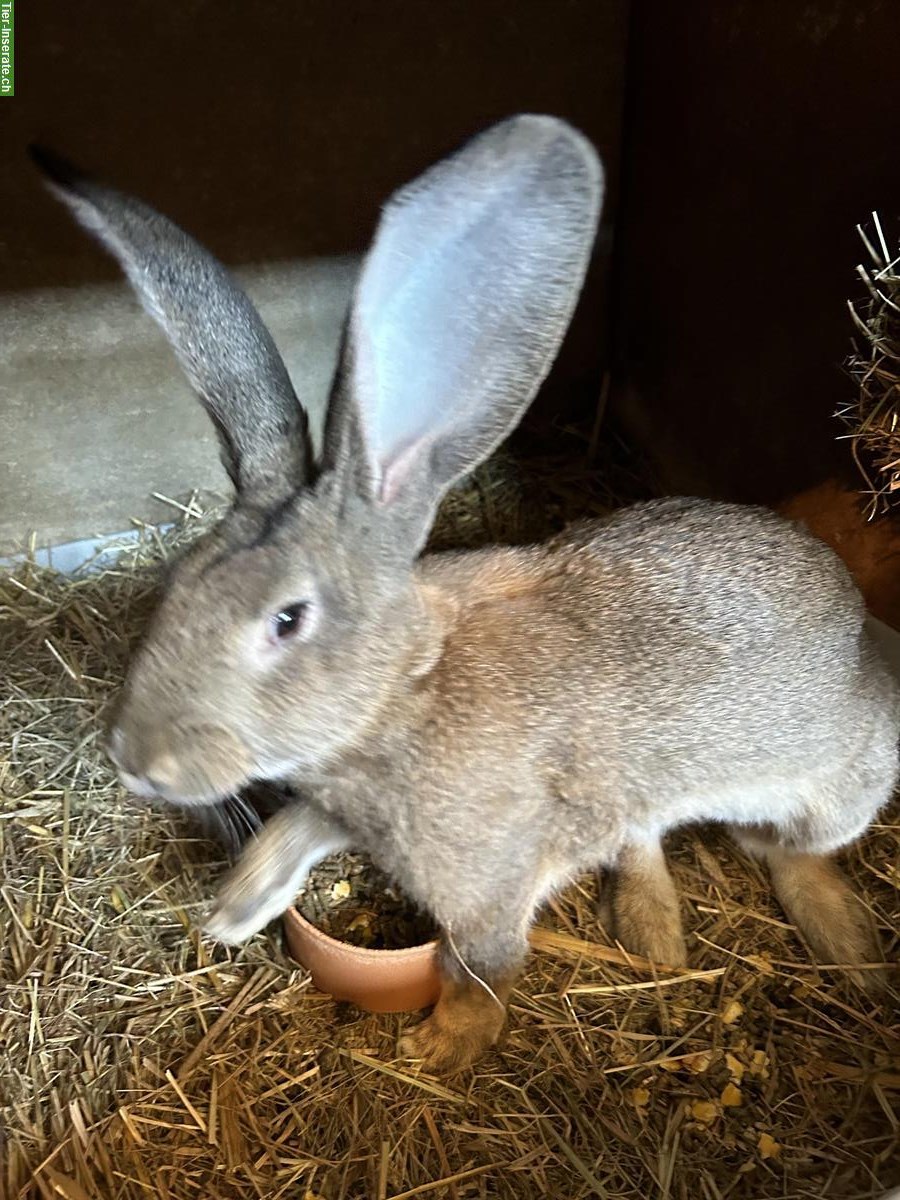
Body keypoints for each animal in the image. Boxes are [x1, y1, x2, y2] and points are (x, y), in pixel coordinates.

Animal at [31, 117, 897, 1075]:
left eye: (286, 620)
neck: (400, 694)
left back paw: (848, 946)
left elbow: (481, 965)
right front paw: (234, 911)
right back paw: (655, 935)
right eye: (179, 582)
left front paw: (439, 1049)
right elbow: (294, 833)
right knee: (644, 836)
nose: (131, 759)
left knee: (783, 851)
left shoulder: (487, 886)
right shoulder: (349, 812)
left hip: (840, 788)